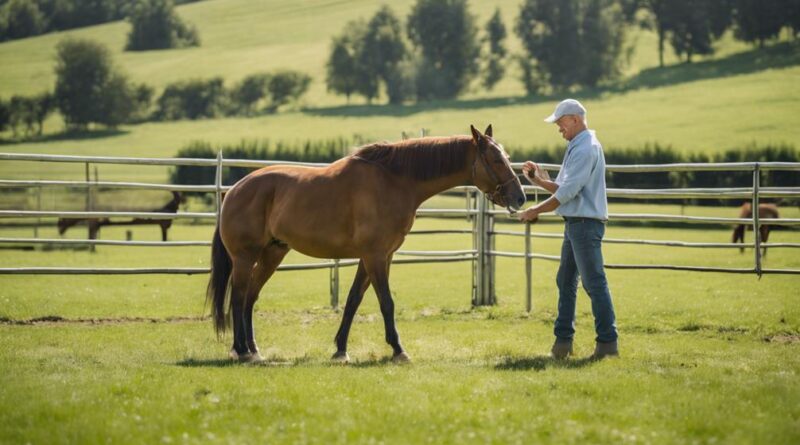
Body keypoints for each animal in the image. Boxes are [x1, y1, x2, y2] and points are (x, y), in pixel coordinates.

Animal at [206, 124, 524, 360]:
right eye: (497, 159)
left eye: (507, 157)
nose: (519, 198)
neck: (395, 180)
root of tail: (234, 190)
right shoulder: (375, 256)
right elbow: (386, 302)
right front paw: (398, 350)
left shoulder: (377, 257)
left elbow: (353, 300)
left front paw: (340, 350)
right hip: (245, 258)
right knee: (238, 297)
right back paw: (242, 351)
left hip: (273, 254)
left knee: (250, 297)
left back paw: (254, 350)